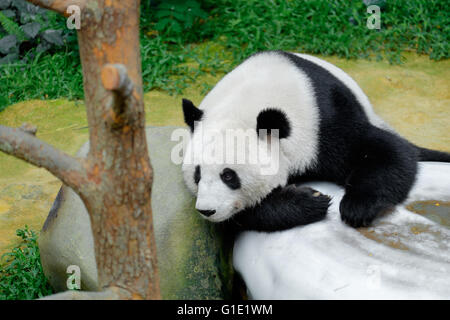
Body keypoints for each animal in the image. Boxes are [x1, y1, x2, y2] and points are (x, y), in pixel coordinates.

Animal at [180, 50, 450, 231]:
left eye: (229, 175)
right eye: (197, 174)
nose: (206, 210)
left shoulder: (323, 120)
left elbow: (386, 151)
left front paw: (356, 207)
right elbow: (244, 214)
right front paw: (310, 200)